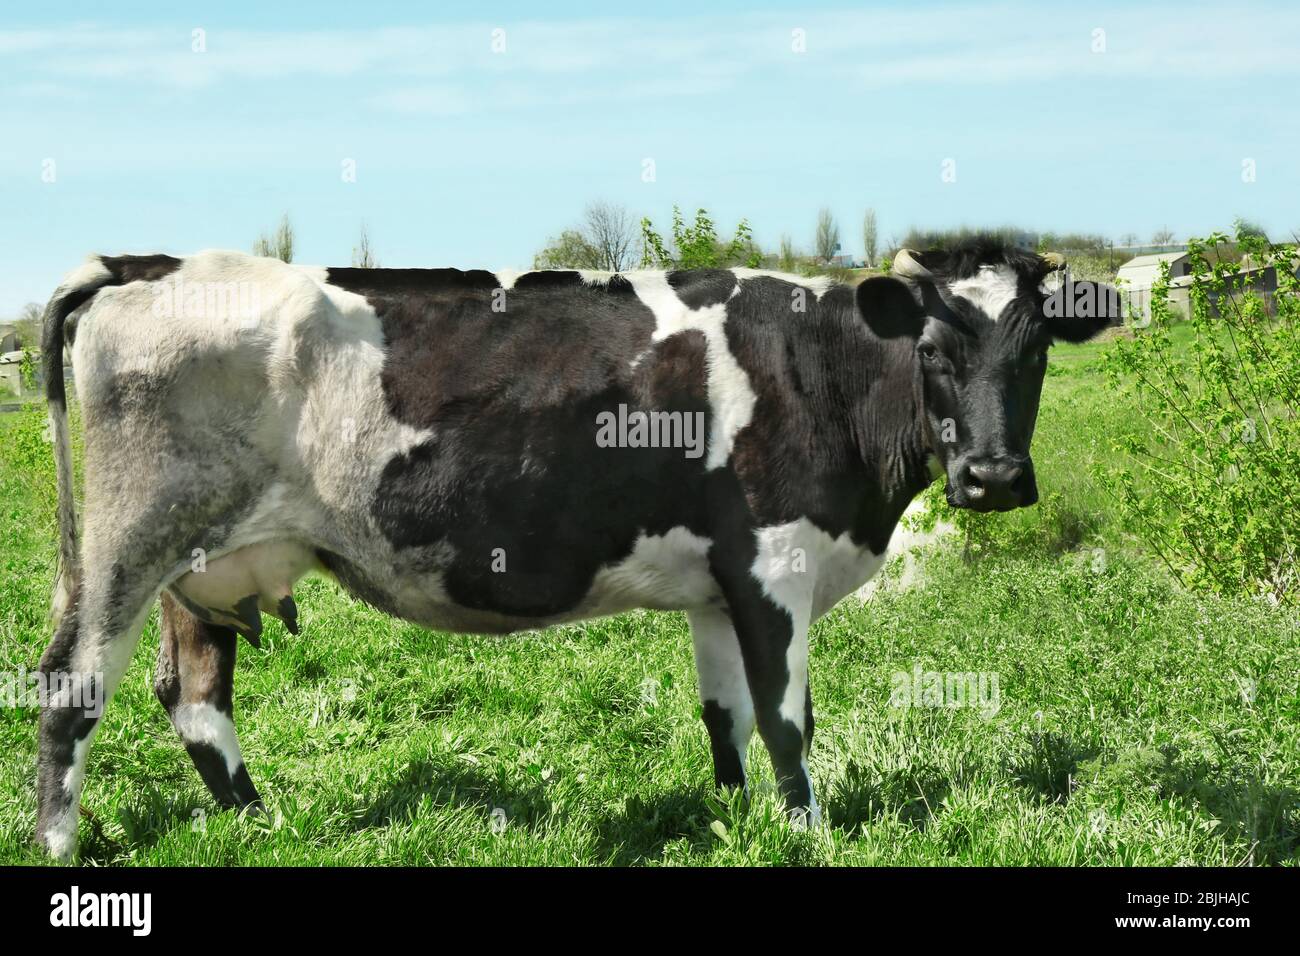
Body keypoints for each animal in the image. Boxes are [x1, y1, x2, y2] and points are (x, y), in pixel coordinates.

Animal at [33, 239, 1115, 860]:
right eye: (931, 349)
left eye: (1034, 352)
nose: (992, 477)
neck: (821, 371)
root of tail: (150, 262)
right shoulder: (776, 563)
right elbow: (786, 718)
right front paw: (806, 834)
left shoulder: (718, 583)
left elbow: (725, 714)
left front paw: (734, 823)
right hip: (131, 539)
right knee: (70, 682)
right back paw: (60, 845)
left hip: (202, 566)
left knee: (192, 693)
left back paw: (260, 824)